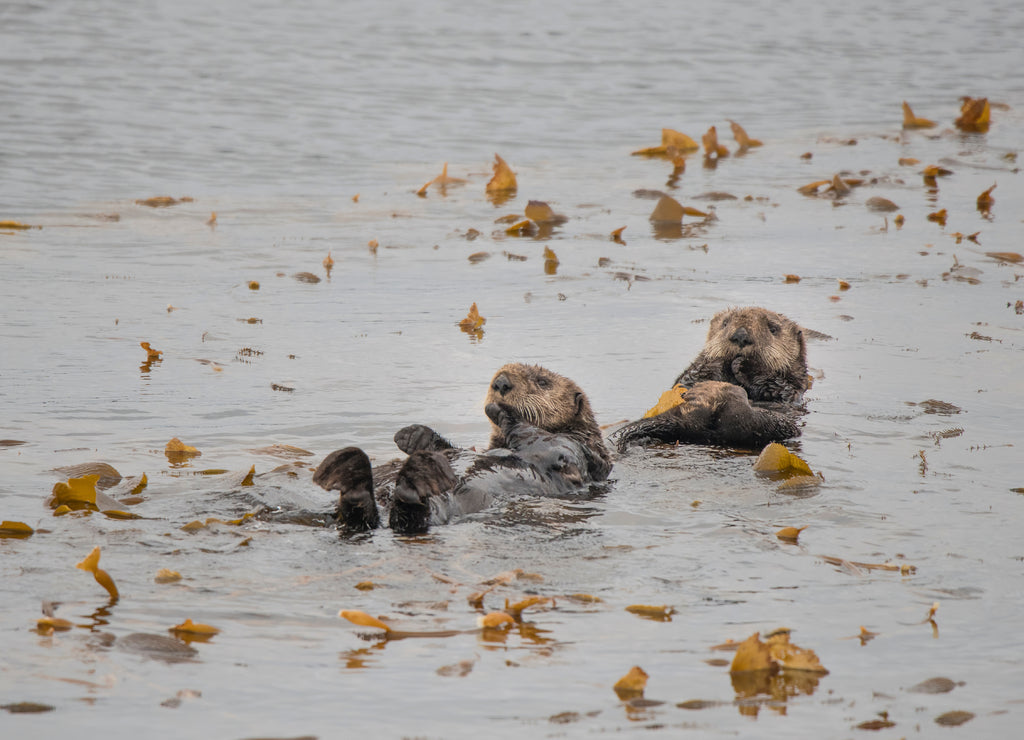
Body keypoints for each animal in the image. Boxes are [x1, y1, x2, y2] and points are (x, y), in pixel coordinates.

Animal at [313, 364, 612, 534]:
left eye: (542, 382)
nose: (501, 382)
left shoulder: (574, 450)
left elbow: (544, 442)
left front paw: (501, 411)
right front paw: (411, 435)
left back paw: (413, 480)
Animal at [612, 307, 807, 451]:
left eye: (773, 329)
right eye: (725, 323)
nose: (741, 336)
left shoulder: (792, 388)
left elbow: (777, 388)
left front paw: (745, 365)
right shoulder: (688, 377)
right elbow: (686, 379)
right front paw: (717, 361)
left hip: (773, 424)